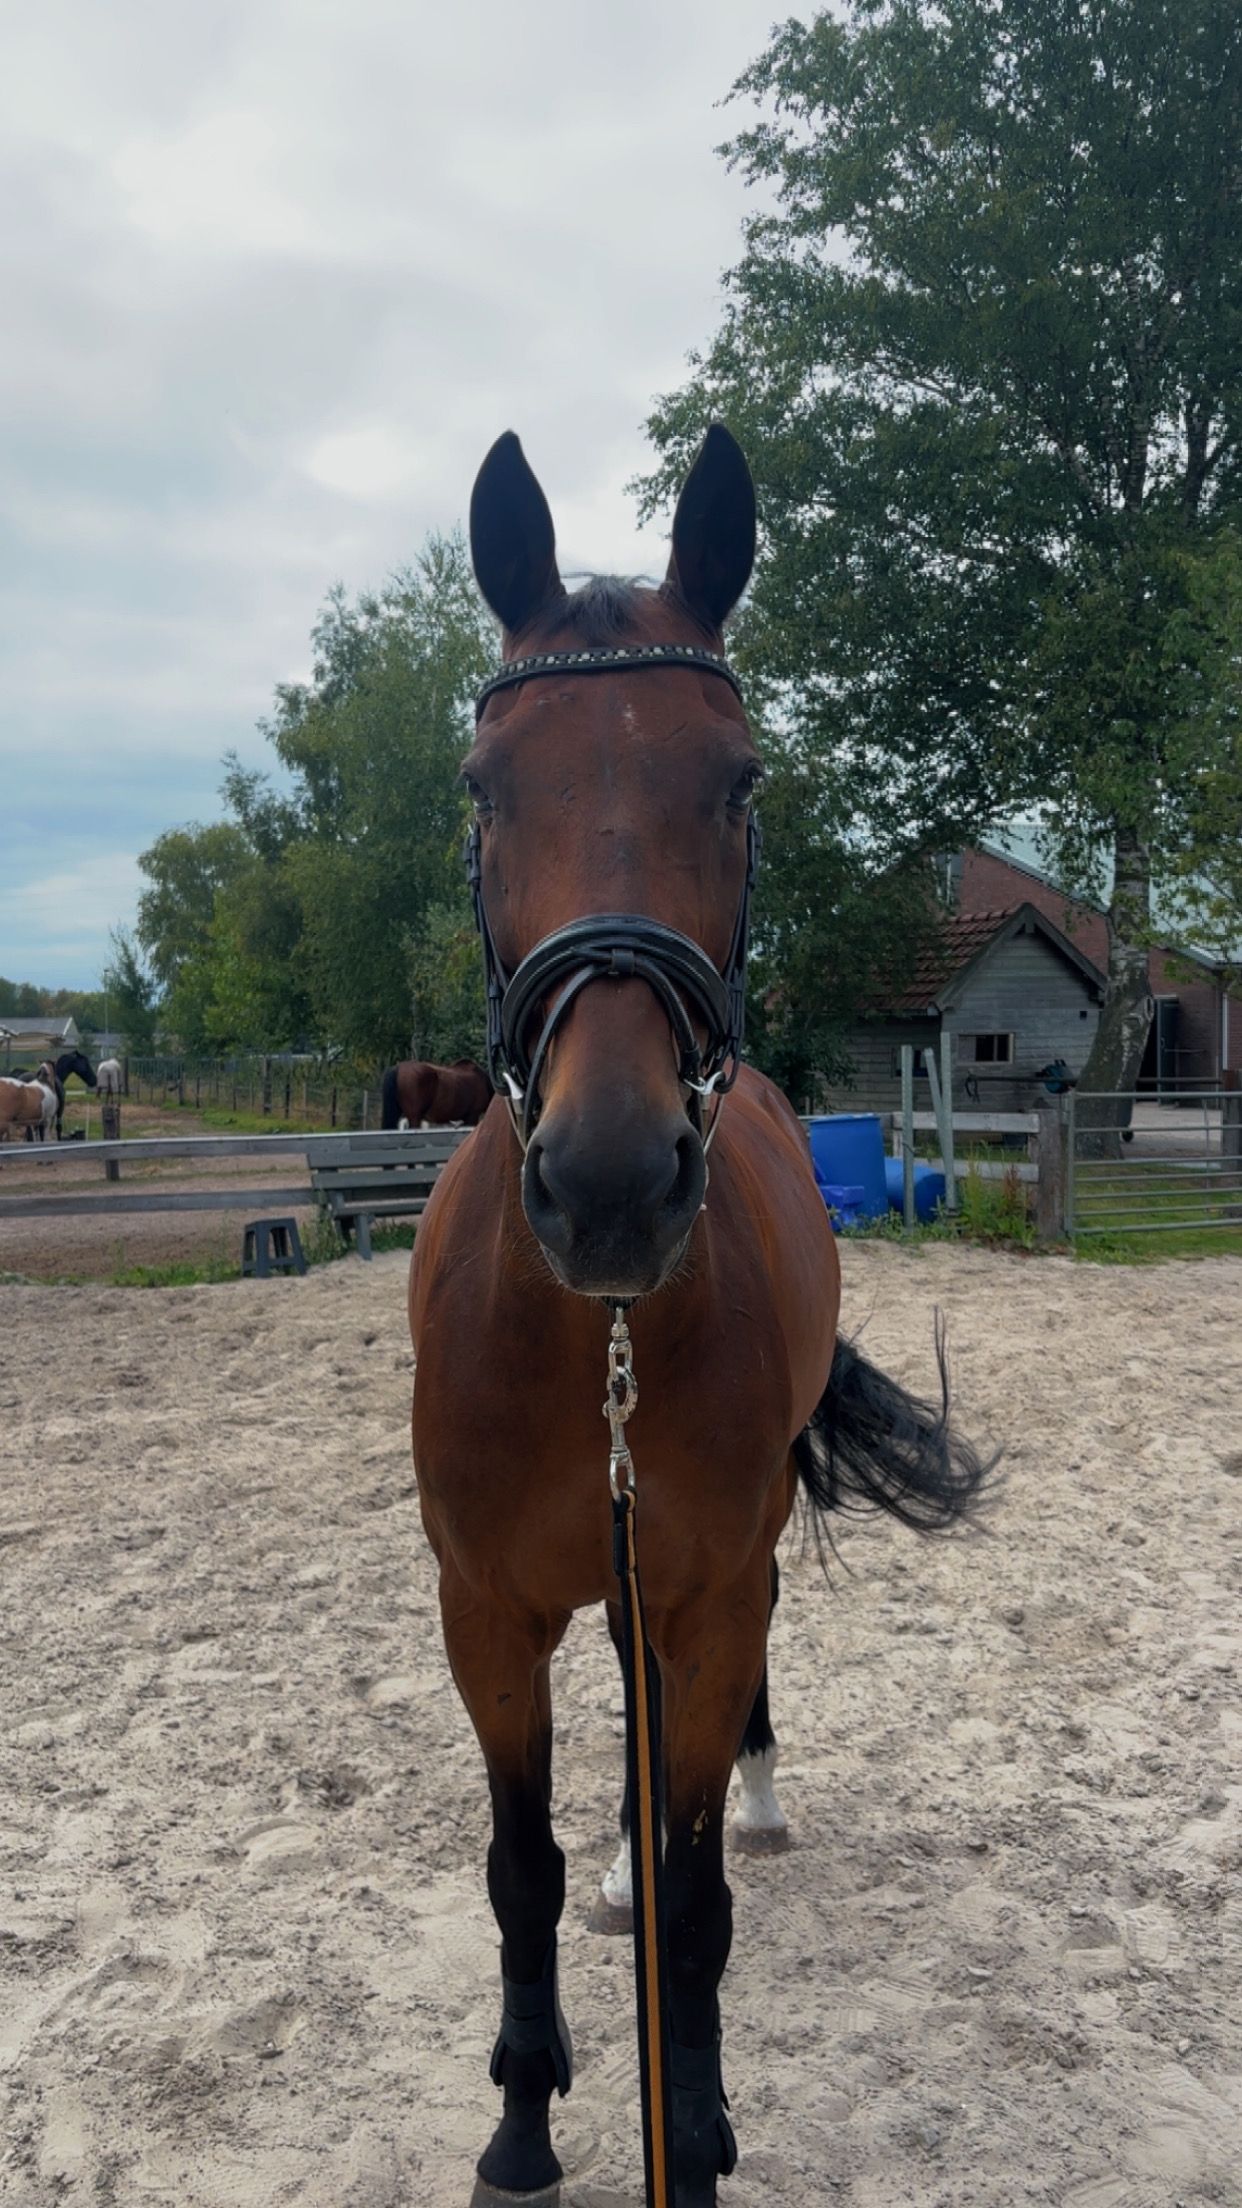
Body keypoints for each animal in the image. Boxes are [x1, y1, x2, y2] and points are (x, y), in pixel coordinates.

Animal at [408, 426, 989, 2205]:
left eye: (738, 783)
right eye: (484, 788)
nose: (609, 1186)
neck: (586, 1336)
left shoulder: (716, 1593)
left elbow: (700, 1895)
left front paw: (702, 2122)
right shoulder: (483, 1614)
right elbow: (516, 1868)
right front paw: (524, 2119)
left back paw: (759, 1799)